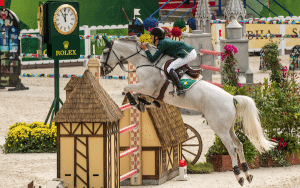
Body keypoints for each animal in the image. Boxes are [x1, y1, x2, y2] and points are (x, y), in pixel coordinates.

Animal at [99, 35, 276, 185]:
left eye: (105, 52)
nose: (102, 71)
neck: (145, 61)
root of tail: (231, 99)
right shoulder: (149, 90)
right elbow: (138, 95)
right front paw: (144, 103)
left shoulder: (147, 86)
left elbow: (127, 88)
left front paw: (135, 102)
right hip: (229, 127)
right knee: (239, 145)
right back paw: (247, 173)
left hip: (219, 128)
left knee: (232, 148)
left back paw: (239, 176)